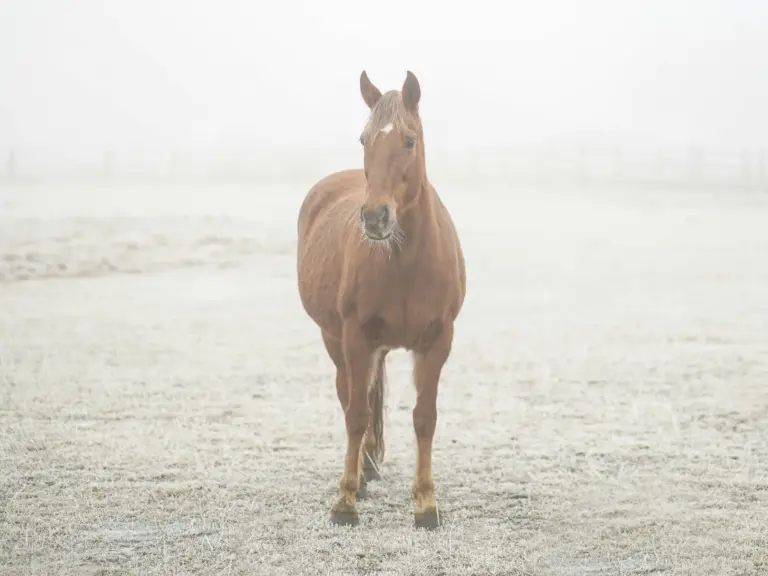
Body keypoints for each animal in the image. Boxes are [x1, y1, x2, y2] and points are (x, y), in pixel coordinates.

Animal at [296, 70, 466, 529]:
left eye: (409, 140)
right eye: (364, 139)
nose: (375, 218)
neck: (405, 263)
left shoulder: (438, 341)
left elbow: (424, 418)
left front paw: (426, 503)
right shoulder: (356, 337)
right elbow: (356, 414)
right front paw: (345, 501)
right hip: (334, 338)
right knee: (349, 395)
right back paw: (363, 472)